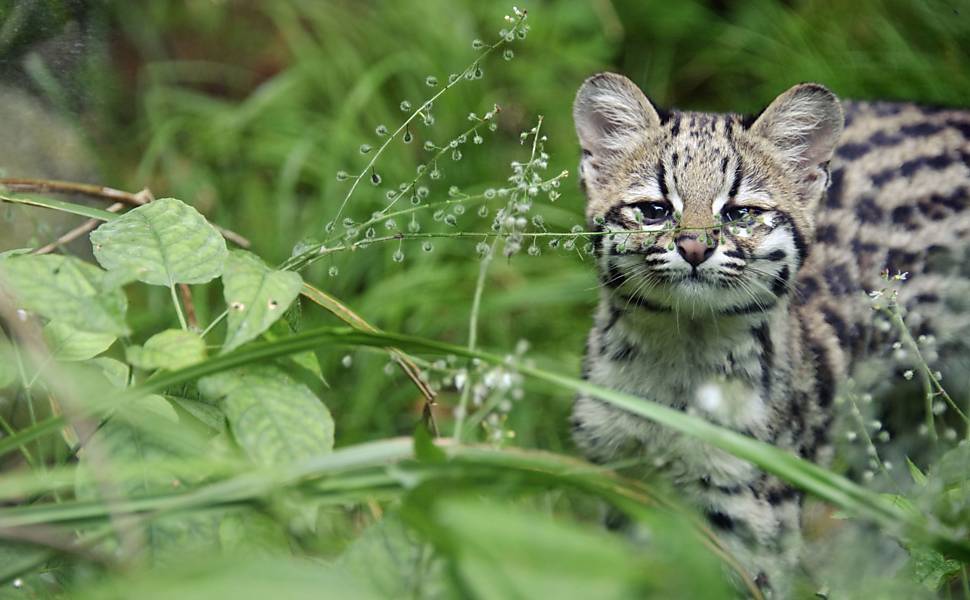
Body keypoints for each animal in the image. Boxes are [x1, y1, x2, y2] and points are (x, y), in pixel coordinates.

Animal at [568, 72, 968, 592]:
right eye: (654, 209)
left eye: (740, 213)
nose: (694, 246)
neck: (680, 360)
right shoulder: (622, 482)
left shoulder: (750, 515)